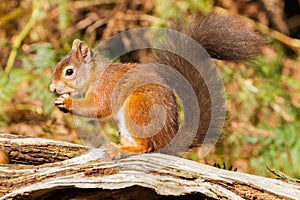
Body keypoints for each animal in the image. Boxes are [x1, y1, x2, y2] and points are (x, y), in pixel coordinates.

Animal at [49, 14, 262, 154]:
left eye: (69, 72)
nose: (52, 88)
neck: (95, 73)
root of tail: (168, 139)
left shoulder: (107, 86)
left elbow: (98, 106)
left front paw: (66, 102)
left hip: (139, 107)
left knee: (147, 147)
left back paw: (122, 149)